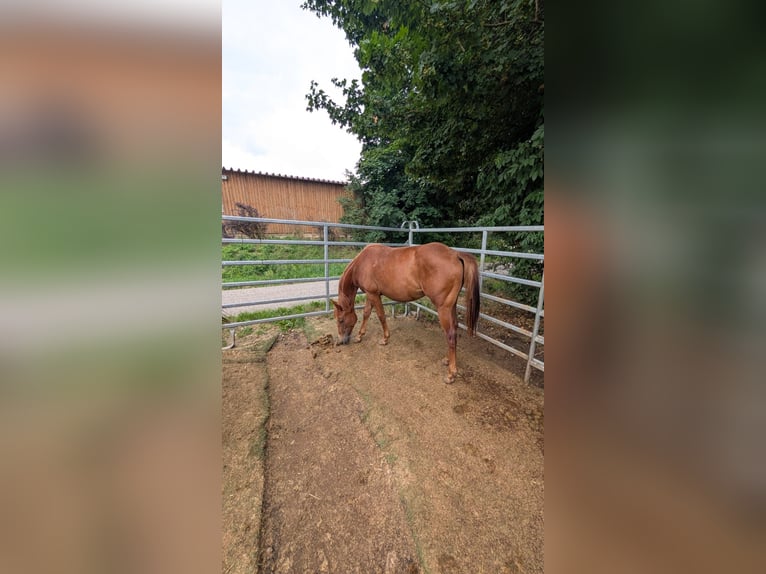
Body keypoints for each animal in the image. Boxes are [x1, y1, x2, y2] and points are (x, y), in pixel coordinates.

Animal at [331, 242, 480, 383]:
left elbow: (381, 316)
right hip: (451, 306)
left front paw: (385, 339)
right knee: (454, 328)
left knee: (450, 334)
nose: (341, 341)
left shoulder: (373, 294)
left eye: (340, 320)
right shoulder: (370, 294)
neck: (362, 263)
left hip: (443, 308)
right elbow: (366, 313)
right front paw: (360, 336)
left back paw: (451, 374)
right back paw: (447, 360)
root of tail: (455, 254)